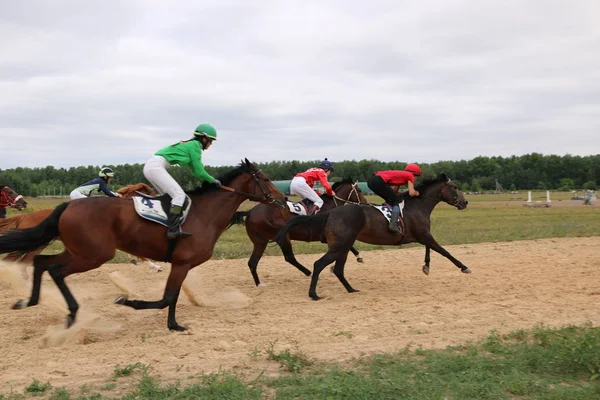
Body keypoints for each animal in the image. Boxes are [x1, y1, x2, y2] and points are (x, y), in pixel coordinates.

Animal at [230, 177, 368, 286]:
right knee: (289, 257)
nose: (365, 203)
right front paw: (359, 257)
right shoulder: (328, 237)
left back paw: (259, 284)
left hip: (260, 241)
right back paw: (308, 272)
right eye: (360, 190)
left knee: (252, 262)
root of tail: (250, 212)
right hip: (282, 236)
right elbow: (348, 246)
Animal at [274, 173, 472, 300]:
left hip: (343, 246)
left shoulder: (422, 236)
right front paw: (464, 267)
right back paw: (314, 294)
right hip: (339, 246)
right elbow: (444, 251)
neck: (418, 205)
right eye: (455, 187)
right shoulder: (424, 235)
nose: (465, 202)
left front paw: (426, 266)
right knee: (319, 264)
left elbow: (430, 249)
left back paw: (351, 289)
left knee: (337, 269)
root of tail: (331, 213)